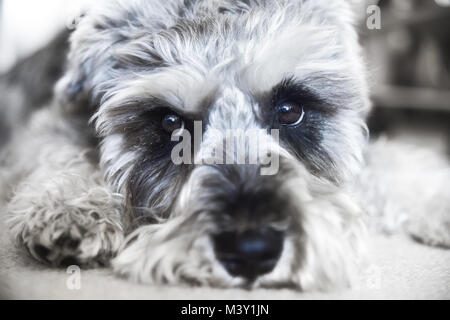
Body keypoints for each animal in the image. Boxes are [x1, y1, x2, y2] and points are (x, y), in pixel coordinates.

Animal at [0, 0, 450, 290]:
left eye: (290, 109)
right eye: (170, 122)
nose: (252, 252)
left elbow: (389, 167)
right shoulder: (46, 128)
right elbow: (61, 153)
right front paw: (70, 208)